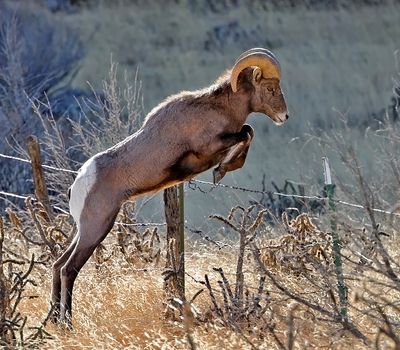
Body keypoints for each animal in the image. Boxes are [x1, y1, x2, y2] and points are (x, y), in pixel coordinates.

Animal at [51, 47, 290, 324]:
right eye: (270, 89)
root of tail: (78, 185)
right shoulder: (210, 146)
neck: (217, 110)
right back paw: (67, 324)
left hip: (83, 230)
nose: (285, 116)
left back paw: (53, 320)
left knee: (58, 265)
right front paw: (221, 171)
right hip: (96, 228)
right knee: (69, 269)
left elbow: (248, 131)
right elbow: (246, 133)